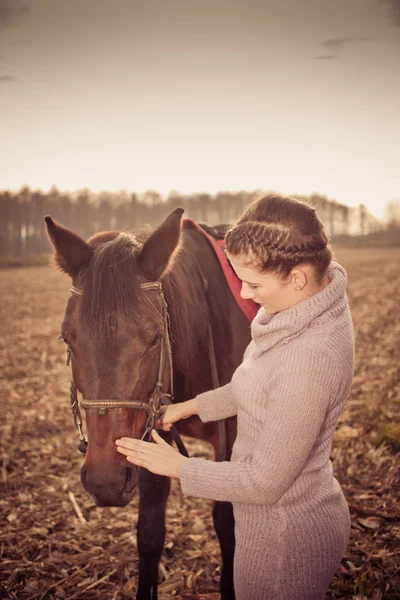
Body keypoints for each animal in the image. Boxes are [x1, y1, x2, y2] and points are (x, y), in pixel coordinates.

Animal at [45, 210, 252, 600]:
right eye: (67, 339)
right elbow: (150, 534)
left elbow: (227, 519)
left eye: (155, 338)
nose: (106, 481)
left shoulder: (232, 436)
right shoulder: (151, 438)